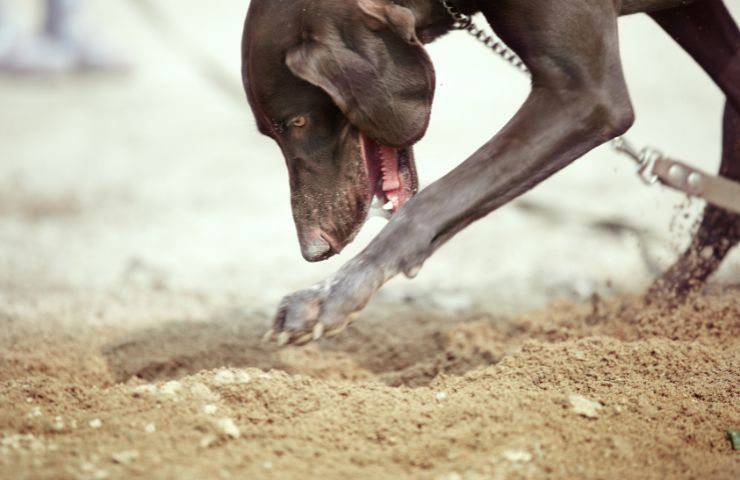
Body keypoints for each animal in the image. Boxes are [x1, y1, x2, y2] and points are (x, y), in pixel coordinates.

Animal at [241, 0, 736, 344]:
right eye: (272, 132)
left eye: (298, 122)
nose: (313, 250)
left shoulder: (586, 98)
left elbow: (432, 201)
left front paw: (331, 294)